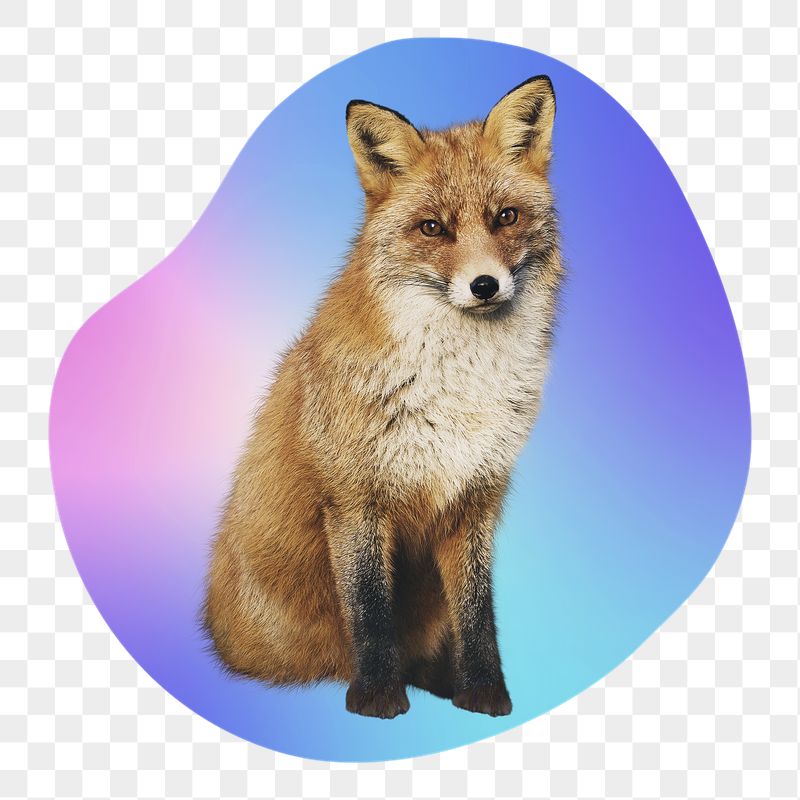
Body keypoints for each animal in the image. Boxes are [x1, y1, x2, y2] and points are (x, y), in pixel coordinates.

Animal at [203, 75, 563, 719]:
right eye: (432, 228)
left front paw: (483, 693)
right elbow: (370, 611)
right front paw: (376, 697)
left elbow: (478, 615)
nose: (485, 285)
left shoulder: (475, 498)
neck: (457, 391)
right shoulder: (355, 499)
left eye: (505, 217)